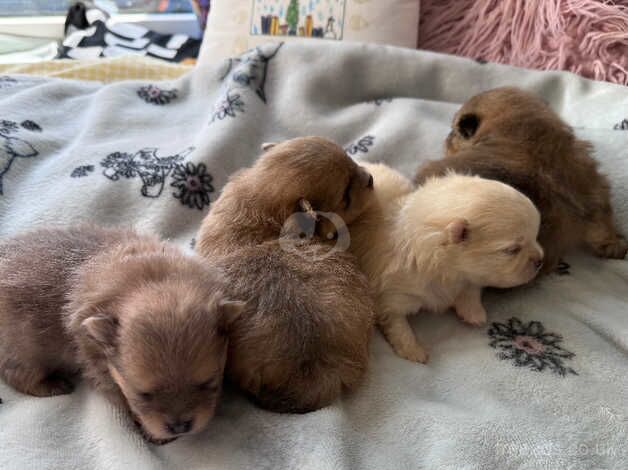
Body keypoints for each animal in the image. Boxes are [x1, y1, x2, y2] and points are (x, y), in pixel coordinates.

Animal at [0, 226, 243, 442]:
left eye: (209, 382)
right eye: (142, 393)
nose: (180, 426)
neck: (150, 279)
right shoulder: (97, 363)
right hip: (24, 350)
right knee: (17, 374)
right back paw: (51, 385)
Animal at [350, 163, 544, 362]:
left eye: (535, 237)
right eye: (512, 250)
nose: (540, 260)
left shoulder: (470, 275)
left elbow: (471, 289)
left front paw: (474, 313)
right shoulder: (391, 293)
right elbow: (396, 323)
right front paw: (414, 351)